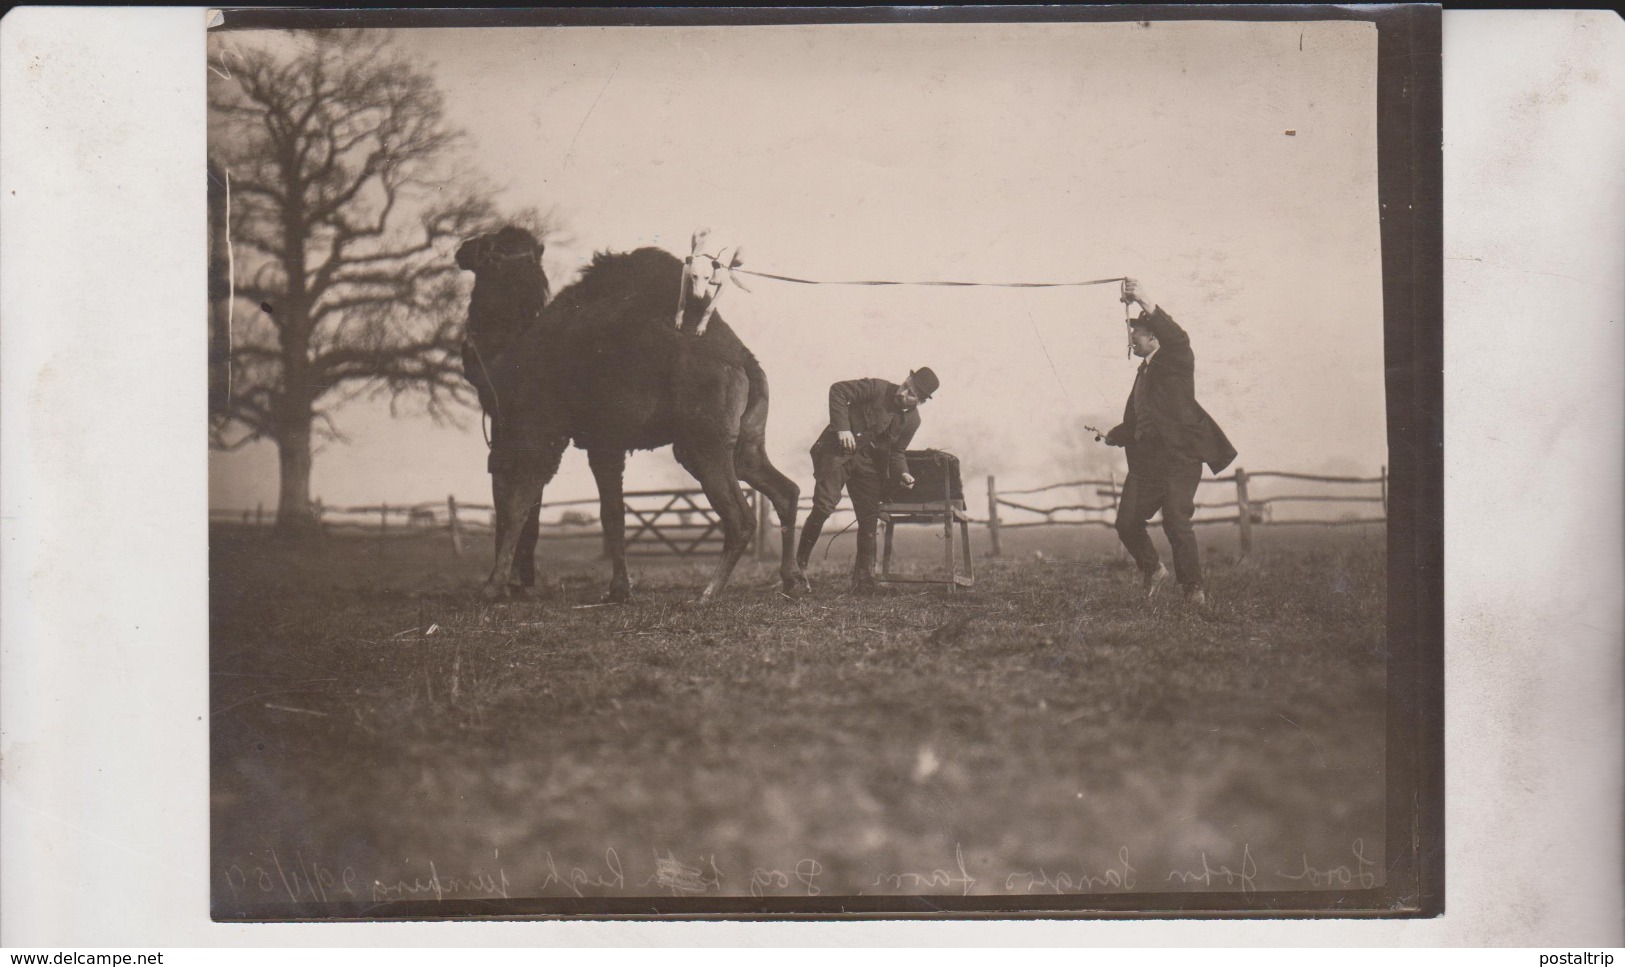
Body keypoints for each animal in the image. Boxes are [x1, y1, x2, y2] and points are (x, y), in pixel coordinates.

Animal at [451, 229, 806, 601]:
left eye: (491, 251)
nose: (462, 249)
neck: (512, 354)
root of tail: (743, 361)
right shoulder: (604, 442)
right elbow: (613, 514)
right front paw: (619, 589)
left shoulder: (542, 432)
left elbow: (516, 507)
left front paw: (491, 587)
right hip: (745, 438)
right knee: (785, 490)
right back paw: (793, 579)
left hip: (702, 439)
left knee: (740, 517)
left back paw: (708, 592)